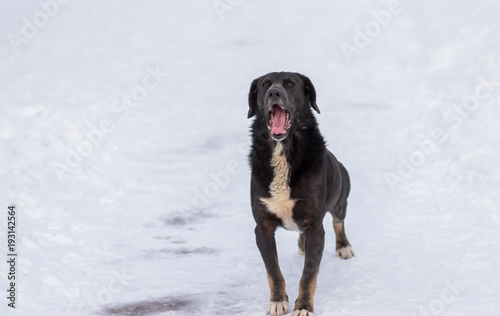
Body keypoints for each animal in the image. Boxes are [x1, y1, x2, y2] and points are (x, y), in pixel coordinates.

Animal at [248, 72, 354, 316]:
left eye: (290, 84)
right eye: (264, 84)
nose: (274, 93)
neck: (282, 151)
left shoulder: (314, 225)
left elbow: (308, 274)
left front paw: (304, 307)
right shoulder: (262, 228)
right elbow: (273, 270)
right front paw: (278, 301)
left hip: (340, 198)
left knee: (338, 221)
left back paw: (343, 247)